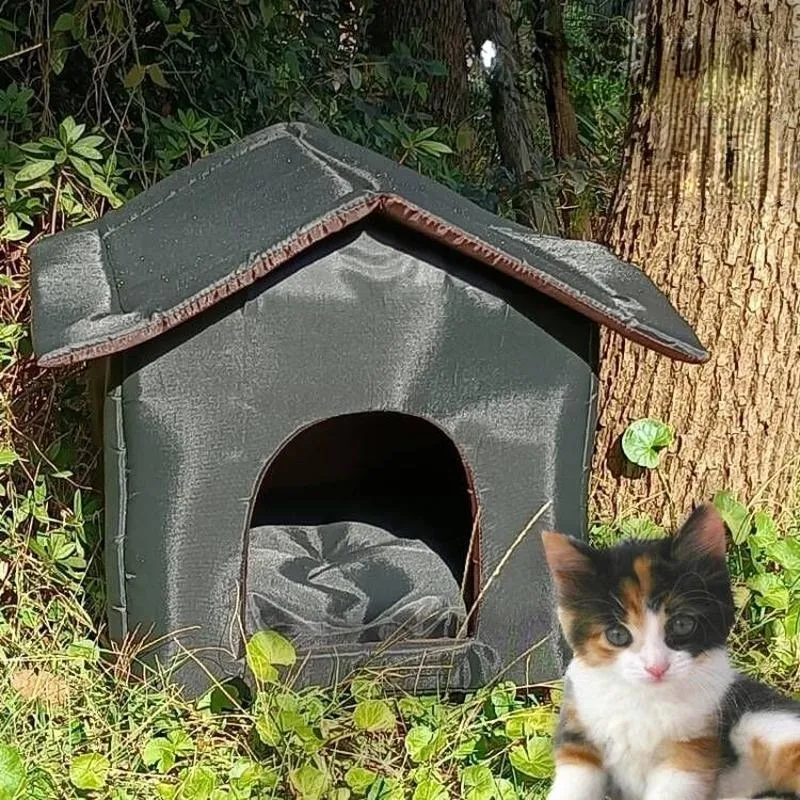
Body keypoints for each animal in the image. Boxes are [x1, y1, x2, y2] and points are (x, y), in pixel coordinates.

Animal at [544, 506, 800, 800]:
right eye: (617, 635)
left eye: (682, 625)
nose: (656, 667)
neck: (645, 699)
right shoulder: (577, 735)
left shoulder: (691, 750)